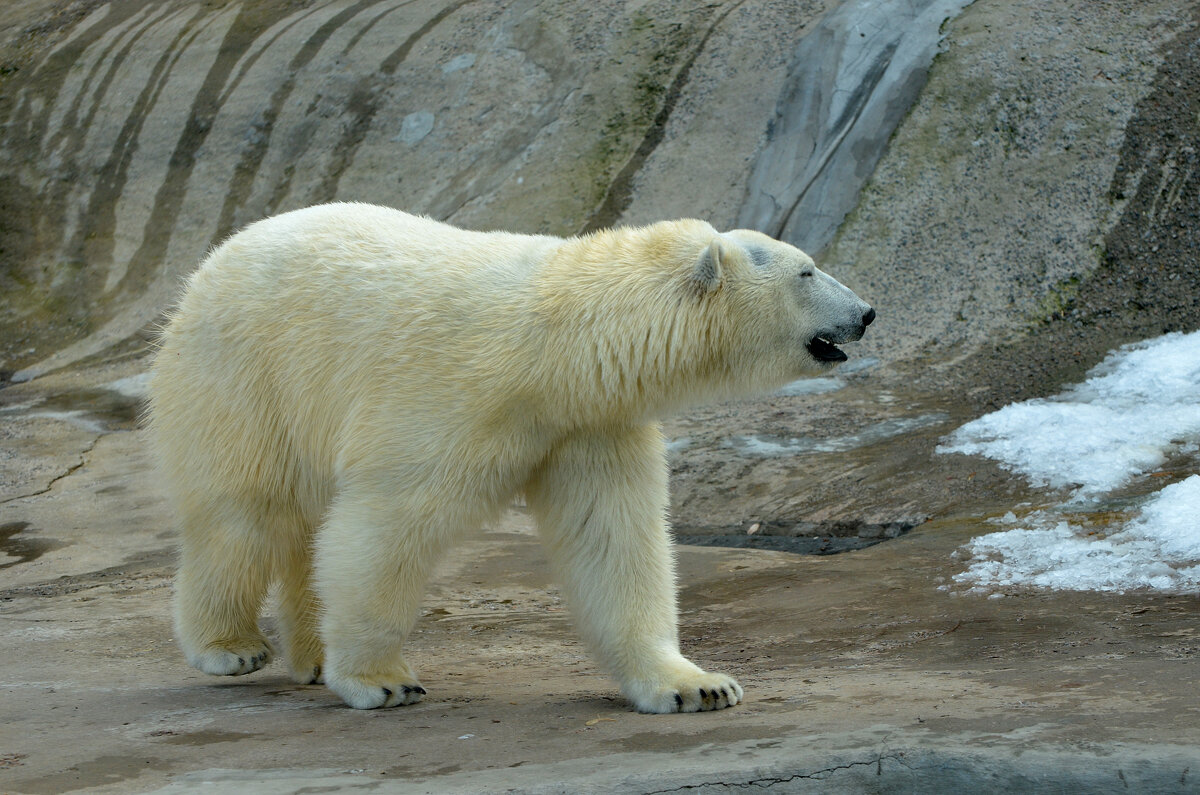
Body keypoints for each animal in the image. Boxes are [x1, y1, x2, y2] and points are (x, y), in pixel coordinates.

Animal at [147, 204, 873, 715]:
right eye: (807, 270)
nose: (866, 312)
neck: (555, 344)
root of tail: (211, 263)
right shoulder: (451, 396)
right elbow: (383, 528)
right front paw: (381, 680)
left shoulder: (588, 423)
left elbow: (614, 541)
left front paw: (696, 684)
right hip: (245, 371)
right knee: (245, 512)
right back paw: (229, 647)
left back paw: (312, 655)